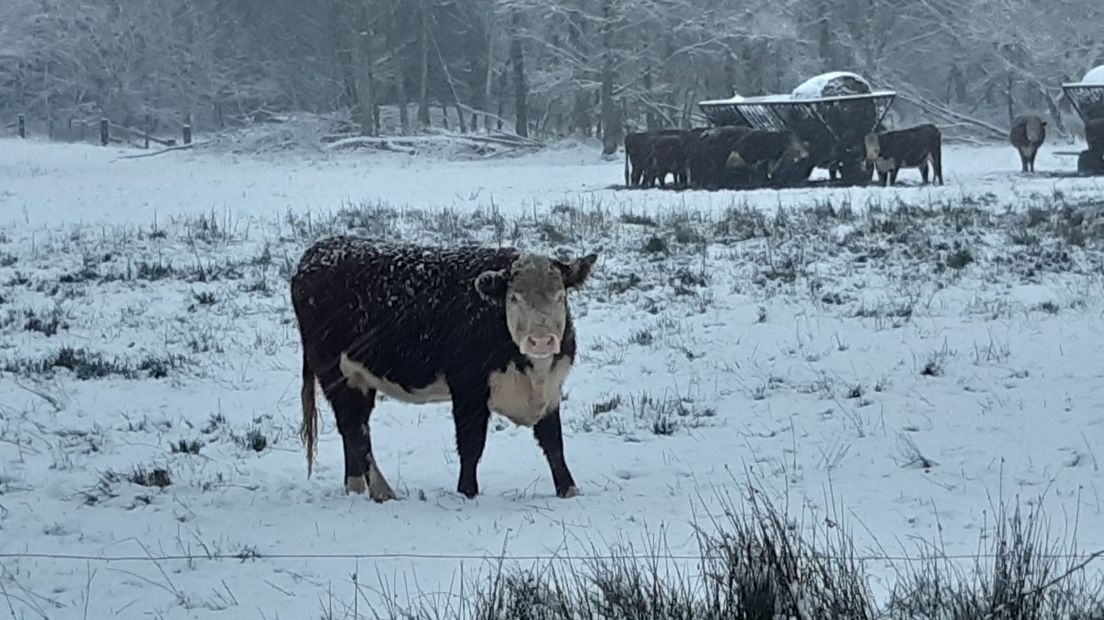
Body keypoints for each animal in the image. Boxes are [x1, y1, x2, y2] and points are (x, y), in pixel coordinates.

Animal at [284, 233, 596, 498]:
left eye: (560, 296)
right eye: (514, 297)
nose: (540, 340)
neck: (532, 372)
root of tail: (316, 252)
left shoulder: (551, 390)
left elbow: (553, 443)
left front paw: (568, 490)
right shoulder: (468, 388)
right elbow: (471, 445)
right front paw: (467, 493)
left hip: (359, 378)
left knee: (354, 429)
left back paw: (357, 488)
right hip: (335, 372)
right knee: (354, 429)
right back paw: (383, 492)